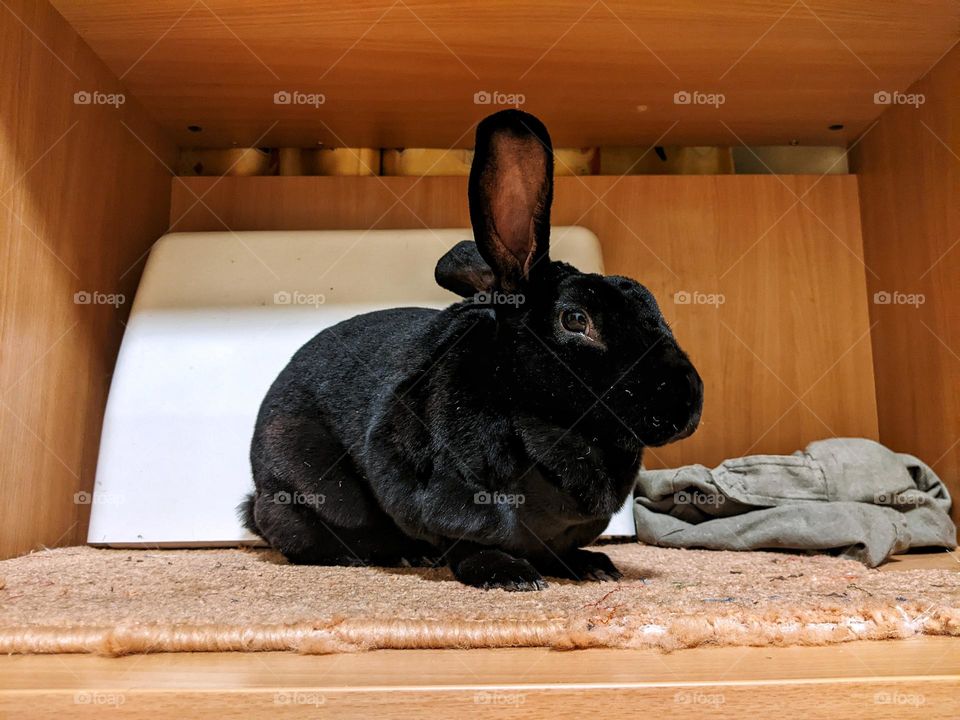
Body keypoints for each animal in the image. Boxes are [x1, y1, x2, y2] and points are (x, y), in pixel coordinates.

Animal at [244, 108, 700, 592]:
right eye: (576, 320)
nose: (688, 403)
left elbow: (555, 549)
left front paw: (592, 565)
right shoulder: (445, 499)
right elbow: (467, 544)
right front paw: (510, 575)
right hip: (308, 492)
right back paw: (402, 555)